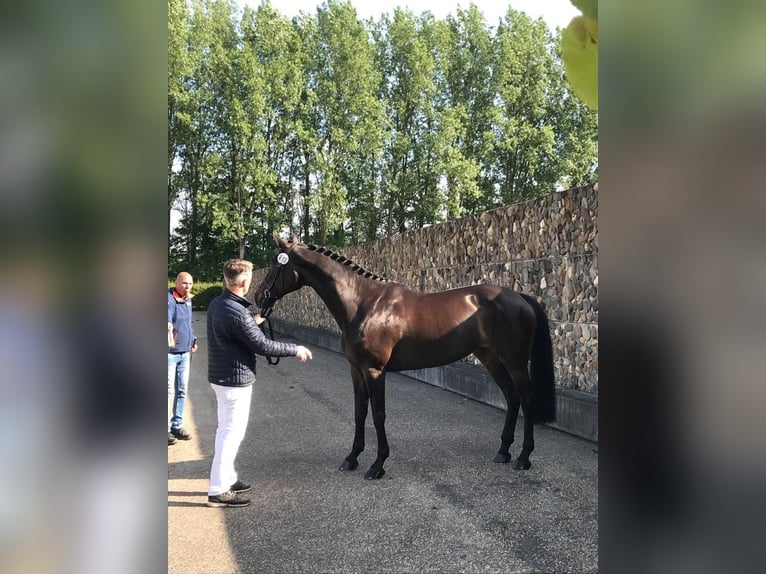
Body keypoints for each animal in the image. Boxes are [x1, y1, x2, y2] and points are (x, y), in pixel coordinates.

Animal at [255, 234, 556, 482]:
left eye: (275, 264)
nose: (259, 296)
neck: (363, 304)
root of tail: (519, 296)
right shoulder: (356, 370)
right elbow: (359, 412)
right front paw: (352, 458)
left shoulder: (375, 371)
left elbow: (378, 415)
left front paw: (377, 464)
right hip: (490, 357)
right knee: (512, 398)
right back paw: (503, 451)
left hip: (515, 362)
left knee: (526, 400)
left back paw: (523, 457)